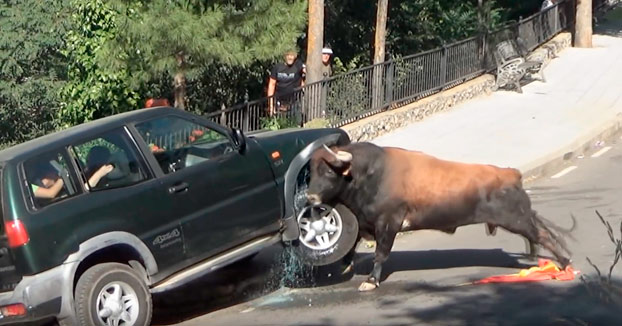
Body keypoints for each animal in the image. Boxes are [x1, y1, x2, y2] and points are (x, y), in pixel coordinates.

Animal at [308, 142, 576, 290]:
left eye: (328, 171)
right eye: (311, 170)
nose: (310, 197)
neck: (371, 174)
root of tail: (511, 174)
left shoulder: (388, 223)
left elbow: (381, 254)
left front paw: (371, 281)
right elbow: (351, 248)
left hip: (516, 219)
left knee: (542, 235)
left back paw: (564, 264)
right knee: (538, 235)